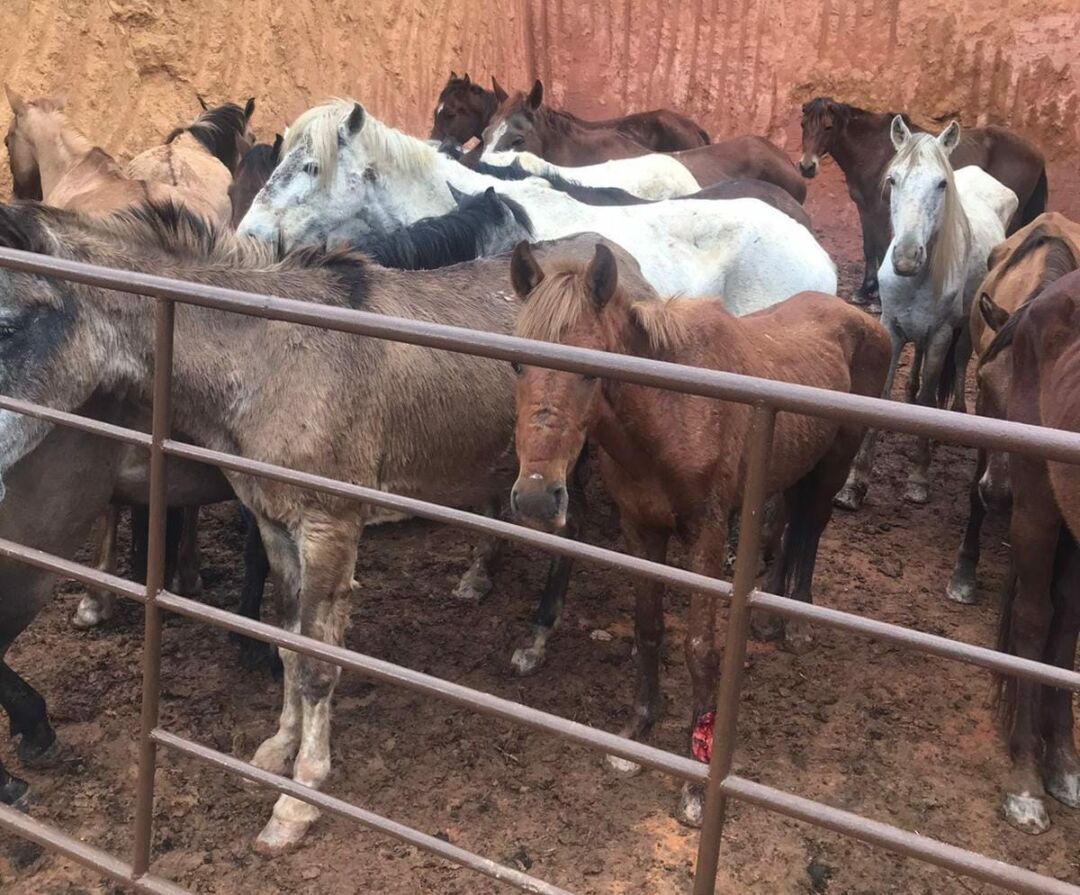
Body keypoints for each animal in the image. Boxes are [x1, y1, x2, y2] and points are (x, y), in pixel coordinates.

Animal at [0, 199, 658, 851]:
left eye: (7, 326)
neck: (272, 359)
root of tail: (622, 260)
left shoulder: (328, 528)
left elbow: (317, 664)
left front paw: (299, 800)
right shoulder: (273, 524)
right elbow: (290, 643)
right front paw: (279, 749)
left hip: (567, 460)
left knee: (569, 535)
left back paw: (536, 639)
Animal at [508, 240, 890, 827]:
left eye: (593, 368)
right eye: (515, 362)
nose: (535, 496)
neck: (672, 414)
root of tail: (859, 316)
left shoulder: (708, 535)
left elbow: (700, 648)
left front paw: (694, 783)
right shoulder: (641, 530)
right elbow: (648, 629)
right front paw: (637, 733)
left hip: (835, 464)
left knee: (812, 526)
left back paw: (799, 621)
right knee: (790, 523)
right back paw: (774, 612)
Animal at [799, 97, 1048, 304]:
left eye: (828, 127)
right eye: (803, 125)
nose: (806, 167)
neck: (873, 151)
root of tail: (1038, 153)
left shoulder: (880, 210)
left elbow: (881, 247)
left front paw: (878, 298)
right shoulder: (864, 208)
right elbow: (869, 247)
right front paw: (864, 291)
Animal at [834, 119, 1017, 511]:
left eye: (941, 183)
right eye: (892, 180)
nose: (906, 257)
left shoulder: (940, 335)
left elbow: (928, 398)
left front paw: (918, 480)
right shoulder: (891, 327)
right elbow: (881, 396)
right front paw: (854, 485)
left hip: (967, 327)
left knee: (960, 362)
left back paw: (956, 416)